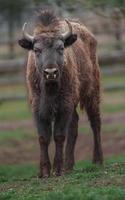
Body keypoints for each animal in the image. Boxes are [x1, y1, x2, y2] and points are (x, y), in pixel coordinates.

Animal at [18, 9, 102, 178]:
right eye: (37, 50)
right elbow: (43, 137)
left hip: (91, 93)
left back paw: (97, 160)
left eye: (61, 48)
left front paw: (57, 169)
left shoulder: (64, 106)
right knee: (74, 125)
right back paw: (69, 165)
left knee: (95, 122)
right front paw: (44, 171)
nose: (51, 72)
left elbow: (58, 135)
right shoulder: (38, 108)